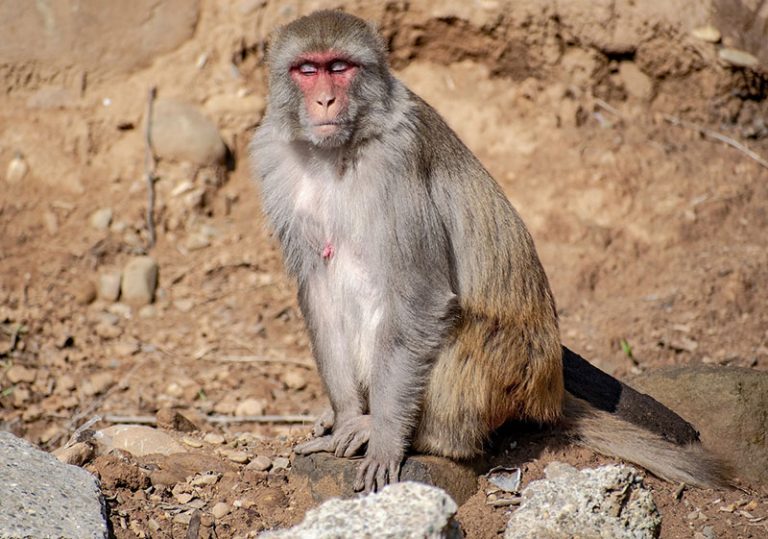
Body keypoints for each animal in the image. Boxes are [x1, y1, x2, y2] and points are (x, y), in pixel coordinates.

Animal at [250, 10, 728, 492]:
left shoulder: (397, 165)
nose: (325, 100)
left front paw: (383, 438)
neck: (338, 154)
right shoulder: (276, 159)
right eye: (307, 70)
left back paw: (418, 436)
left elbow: (420, 297)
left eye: (339, 67)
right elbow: (319, 291)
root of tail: (548, 392)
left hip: (506, 375)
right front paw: (347, 417)